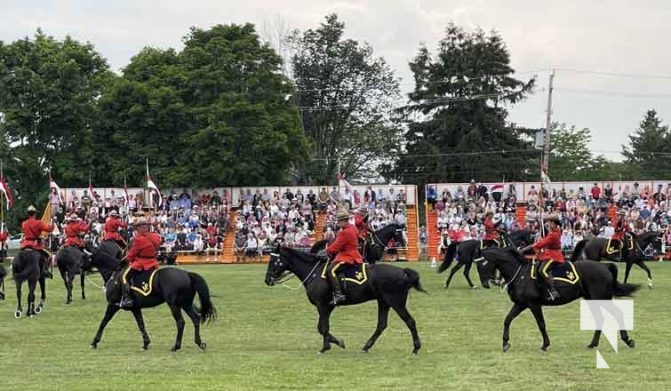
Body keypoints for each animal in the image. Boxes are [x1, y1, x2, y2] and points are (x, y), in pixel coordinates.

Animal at [88, 251, 217, 352]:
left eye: (86, 257)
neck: (115, 275)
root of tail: (187, 274)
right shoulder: (135, 308)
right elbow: (141, 324)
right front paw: (146, 343)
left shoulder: (113, 305)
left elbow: (104, 322)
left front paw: (94, 341)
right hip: (186, 304)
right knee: (195, 319)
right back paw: (199, 343)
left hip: (174, 305)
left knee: (180, 322)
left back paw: (176, 346)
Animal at [264, 248, 426, 356]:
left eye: (273, 261)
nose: (267, 280)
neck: (314, 272)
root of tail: (402, 272)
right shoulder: (328, 307)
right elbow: (322, 327)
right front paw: (337, 342)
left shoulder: (322, 305)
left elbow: (323, 327)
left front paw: (325, 347)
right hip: (384, 302)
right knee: (382, 325)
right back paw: (367, 346)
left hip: (396, 303)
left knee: (410, 321)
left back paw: (416, 347)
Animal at [476, 250, 636, 354]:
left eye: (483, 263)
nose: (485, 284)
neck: (520, 274)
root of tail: (604, 266)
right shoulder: (521, 304)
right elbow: (507, 320)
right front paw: (505, 343)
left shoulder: (534, 305)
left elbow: (541, 324)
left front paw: (545, 345)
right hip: (592, 299)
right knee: (600, 319)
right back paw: (593, 344)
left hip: (601, 298)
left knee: (617, 314)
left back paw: (628, 340)